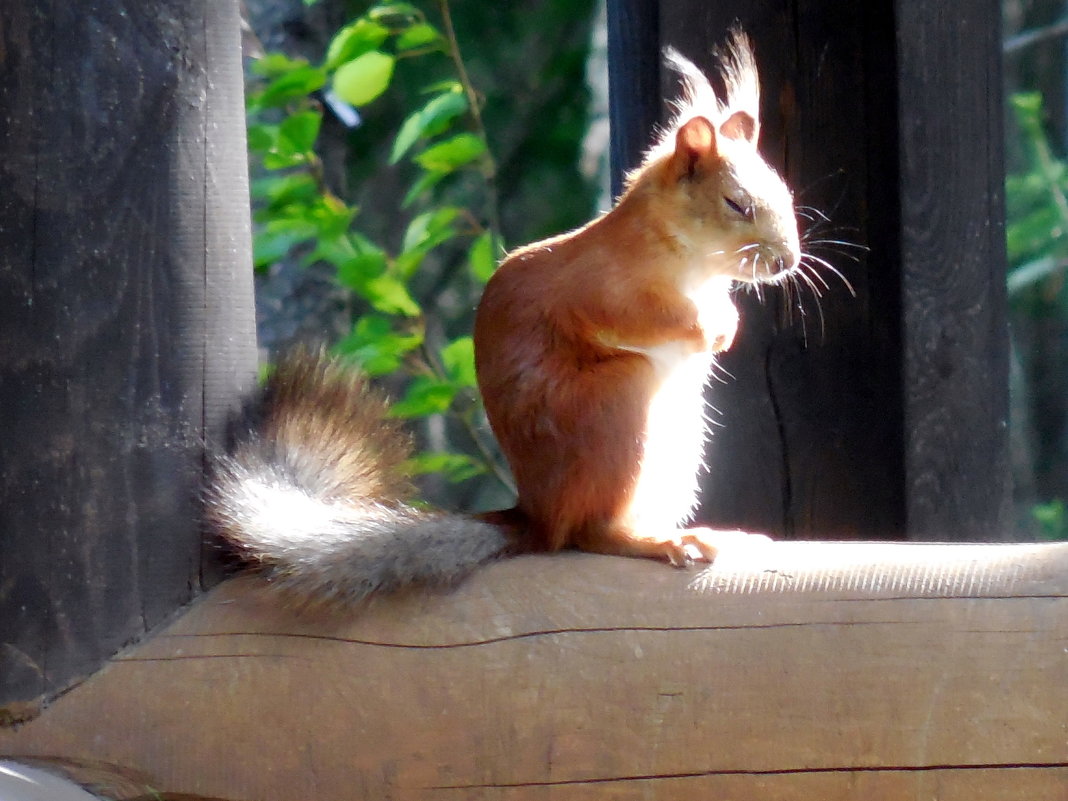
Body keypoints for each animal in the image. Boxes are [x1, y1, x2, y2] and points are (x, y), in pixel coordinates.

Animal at [206, 32, 803, 606]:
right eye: (737, 204)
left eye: (784, 192)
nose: (788, 261)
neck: (690, 263)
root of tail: (535, 518)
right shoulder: (602, 290)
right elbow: (643, 318)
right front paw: (712, 330)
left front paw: (727, 321)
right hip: (618, 407)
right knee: (590, 534)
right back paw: (659, 540)